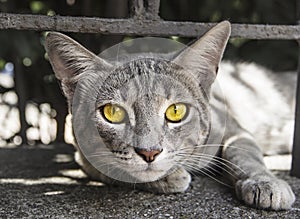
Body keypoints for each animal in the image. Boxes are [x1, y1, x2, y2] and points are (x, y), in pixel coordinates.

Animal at [44, 21, 296, 210]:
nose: (149, 152)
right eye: (113, 113)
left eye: (176, 111)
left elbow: (244, 153)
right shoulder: (82, 154)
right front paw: (169, 178)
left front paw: (265, 181)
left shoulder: (234, 129)